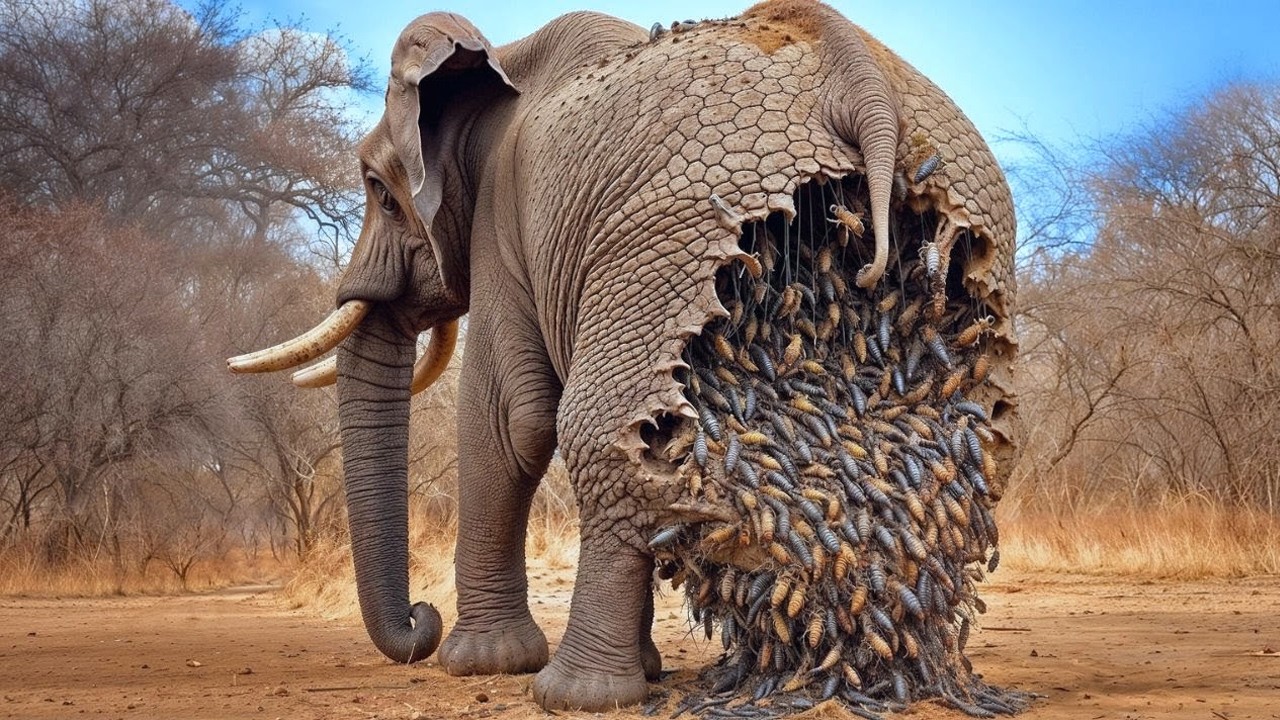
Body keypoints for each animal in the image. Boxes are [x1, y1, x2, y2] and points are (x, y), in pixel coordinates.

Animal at [229, 0, 1018, 711]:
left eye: (380, 192)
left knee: (597, 434)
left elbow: (508, 424)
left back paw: (575, 695)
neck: (503, 60)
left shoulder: (504, 223)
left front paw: (481, 665)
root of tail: (863, 88)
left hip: (664, 233)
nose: (421, 621)